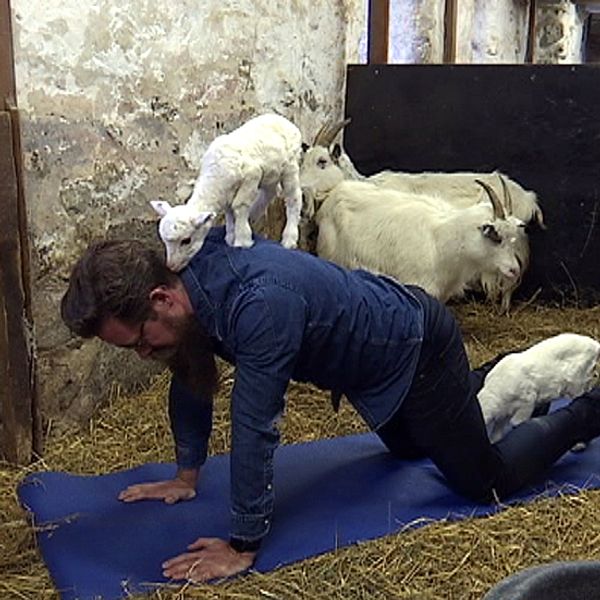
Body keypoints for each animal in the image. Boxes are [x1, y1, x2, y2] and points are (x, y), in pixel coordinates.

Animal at [149, 112, 300, 270]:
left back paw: (289, 239)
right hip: (271, 171)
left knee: (294, 198)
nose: (171, 266)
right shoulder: (227, 192)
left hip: (290, 166)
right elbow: (229, 211)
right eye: (165, 242)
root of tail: (285, 121)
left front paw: (242, 240)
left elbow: (239, 206)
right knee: (270, 192)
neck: (216, 178)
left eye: (186, 240)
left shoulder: (252, 175)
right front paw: (231, 236)